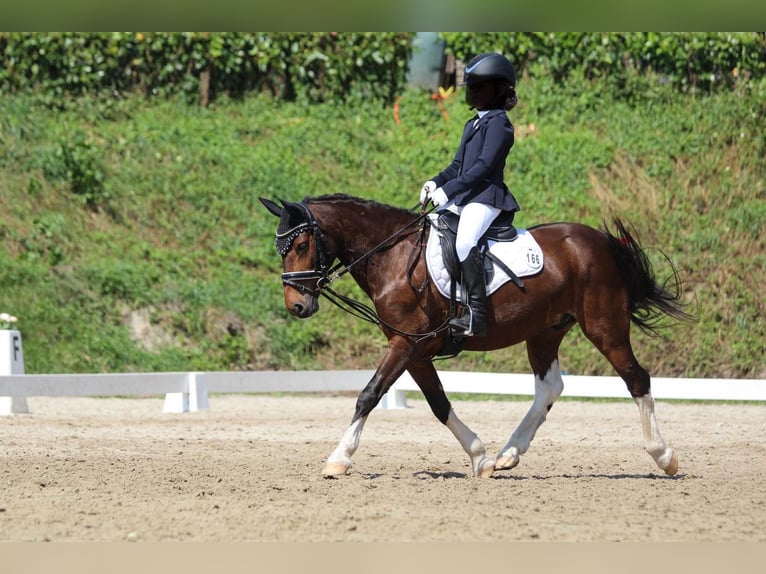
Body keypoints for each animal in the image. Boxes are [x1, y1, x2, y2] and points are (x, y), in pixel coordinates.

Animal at [260, 193, 693, 478]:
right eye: (282, 248)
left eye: (302, 243)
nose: (296, 306)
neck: (393, 257)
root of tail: (602, 242)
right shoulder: (415, 349)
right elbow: (438, 404)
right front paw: (480, 457)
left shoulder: (406, 343)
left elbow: (369, 394)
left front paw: (338, 458)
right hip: (544, 331)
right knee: (549, 387)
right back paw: (508, 455)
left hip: (604, 326)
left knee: (636, 378)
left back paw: (665, 456)